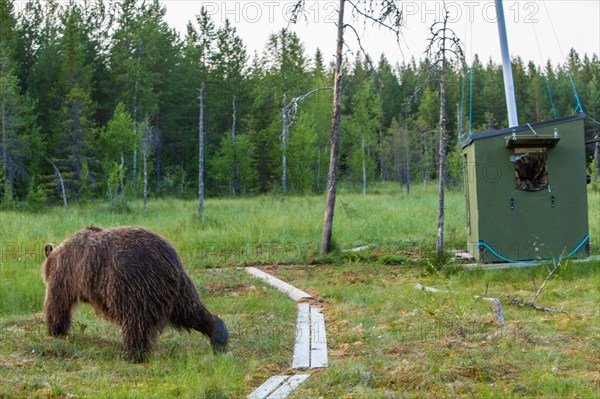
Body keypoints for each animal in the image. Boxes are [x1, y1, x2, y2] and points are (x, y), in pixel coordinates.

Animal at [40, 228, 227, 362]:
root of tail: (167, 260)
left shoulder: (65, 275)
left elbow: (57, 303)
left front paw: (56, 330)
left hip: (134, 286)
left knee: (136, 323)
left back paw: (133, 354)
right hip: (179, 289)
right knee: (191, 311)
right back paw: (219, 336)